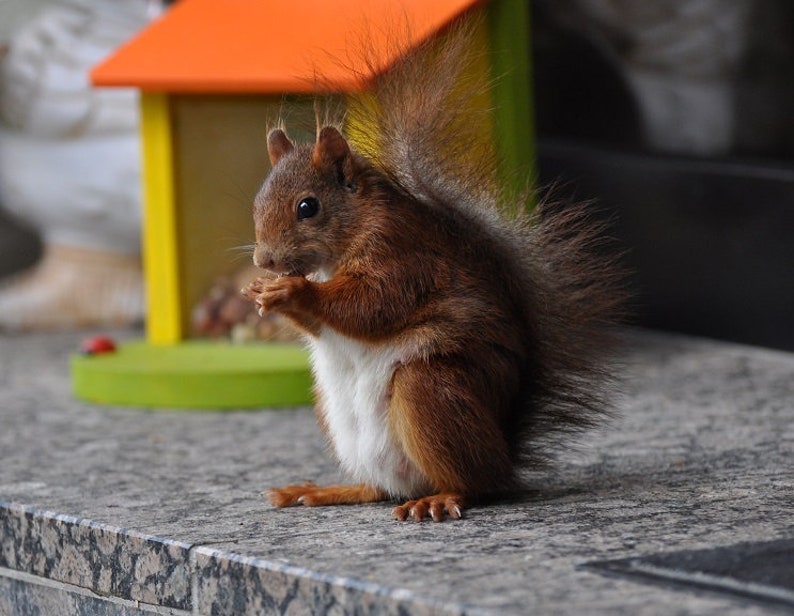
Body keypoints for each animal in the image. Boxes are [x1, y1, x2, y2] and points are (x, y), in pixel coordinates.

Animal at [238, 20, 620, 520]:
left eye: (308, 207)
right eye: (257, 201)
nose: (264, 260)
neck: (342, 245)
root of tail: (504, 456)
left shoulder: (403, 257)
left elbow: (372, 305)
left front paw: (292, 292)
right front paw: (261, 291)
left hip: (428, 391)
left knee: (473, 484)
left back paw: (443, 498)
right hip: (336, 417)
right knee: (379, 488)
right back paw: (323, 490)